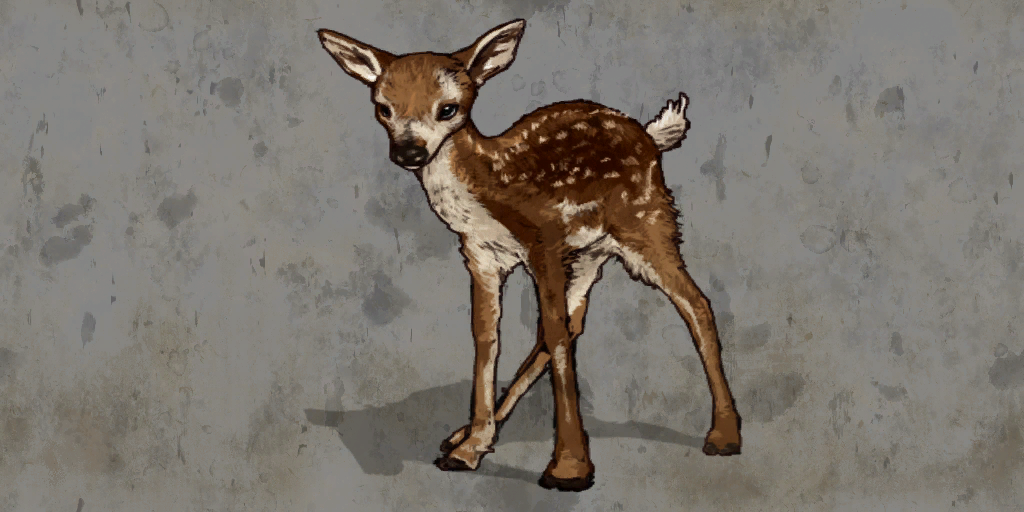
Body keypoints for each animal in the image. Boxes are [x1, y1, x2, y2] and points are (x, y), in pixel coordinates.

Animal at [316, 18, 742, 492]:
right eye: (383, 108)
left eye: (448, 108)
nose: (409, 151)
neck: (492, 192)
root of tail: (649, 136)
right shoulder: (481, 255)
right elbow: (487, 337)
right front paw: (471, 447)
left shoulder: (544, 242)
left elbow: (553, 334)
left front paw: (569, 468)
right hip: (591, 253)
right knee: (577, 321)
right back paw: (461, 437)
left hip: (647, 223)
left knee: (695, 302)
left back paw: (724, 435)